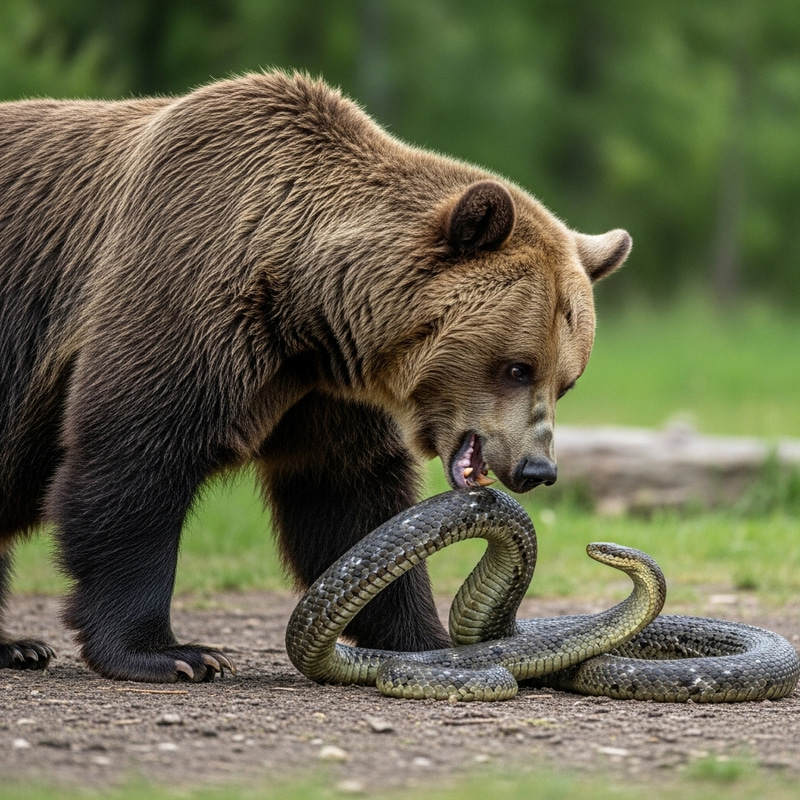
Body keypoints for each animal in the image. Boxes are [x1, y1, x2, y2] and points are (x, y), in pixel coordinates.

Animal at [0, 71, 631, 682]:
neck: (299, 306)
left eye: (566, 381)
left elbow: (348, 495)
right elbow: (135, 457)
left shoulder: (323, 388)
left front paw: (419, 637)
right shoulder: (183, 291)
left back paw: (16, 646)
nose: (537, 468)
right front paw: (170, 652)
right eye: (517, 367)